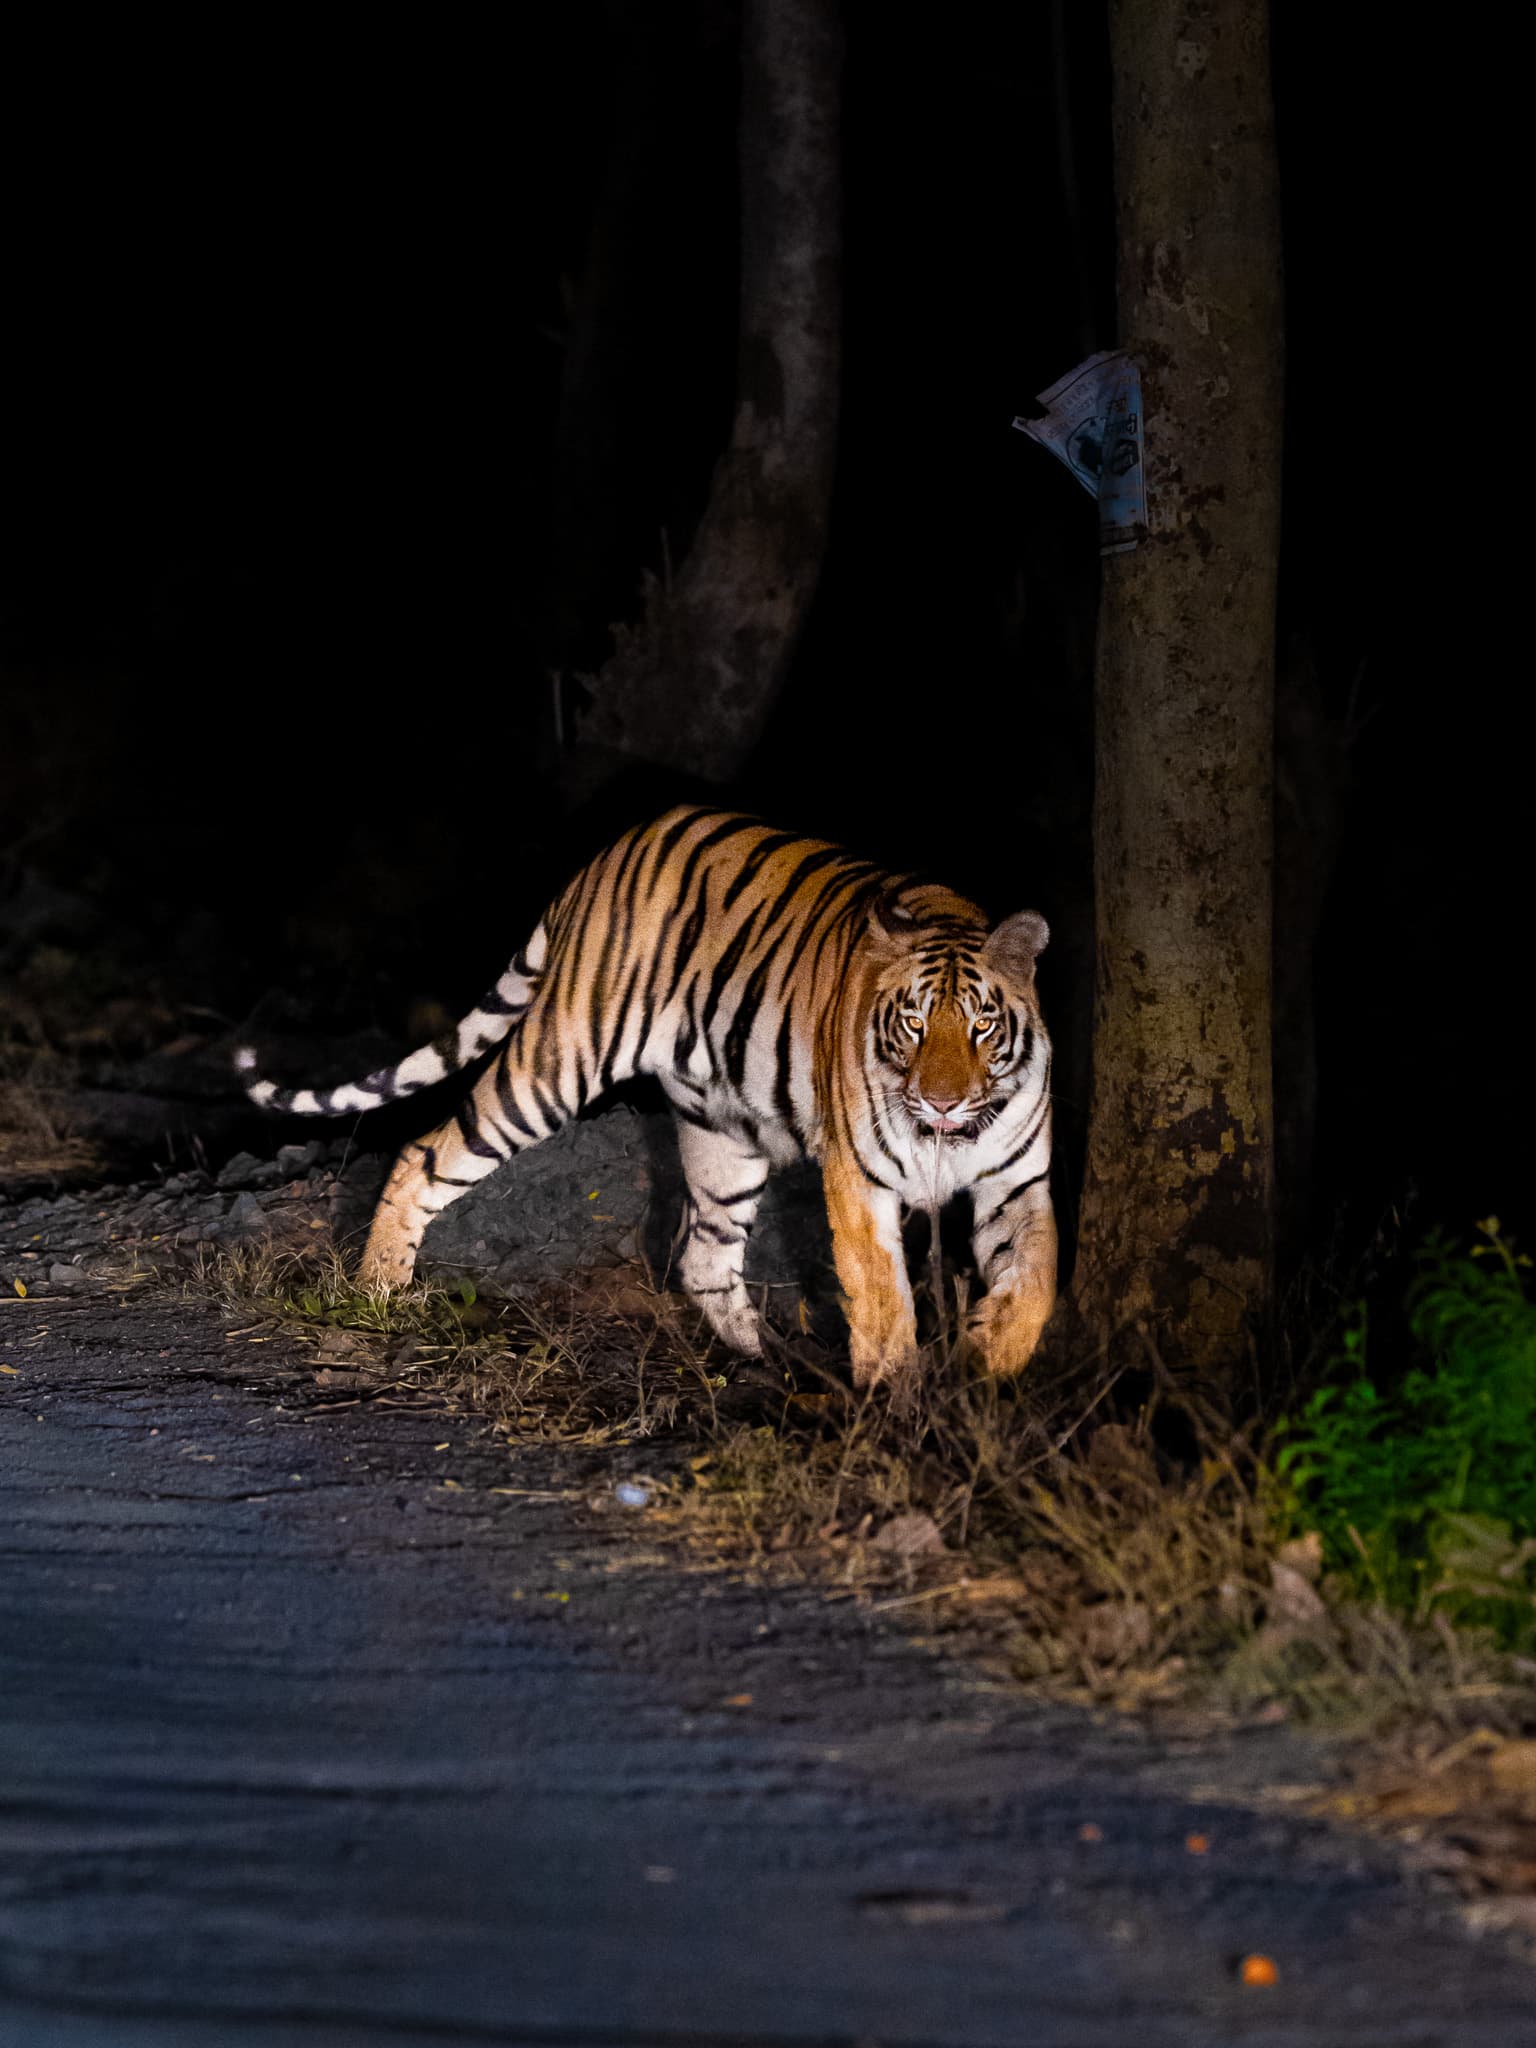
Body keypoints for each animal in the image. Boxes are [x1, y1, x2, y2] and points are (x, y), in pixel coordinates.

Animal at [235, 806, 1056, 1383]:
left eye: (982, 1024)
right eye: (913, 1022)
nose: (942, 1103)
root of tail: (616, 845)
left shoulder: (1020, 1180)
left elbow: (1037, 1278)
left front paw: (988, 1357)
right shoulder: (860, 1182)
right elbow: (884, 1304)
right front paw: (898, 1406)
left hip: (722, 1134)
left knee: (703, 1256)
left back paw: (772, 1362)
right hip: (554, 1066)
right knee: (422, 1153)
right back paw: (376, 1293)